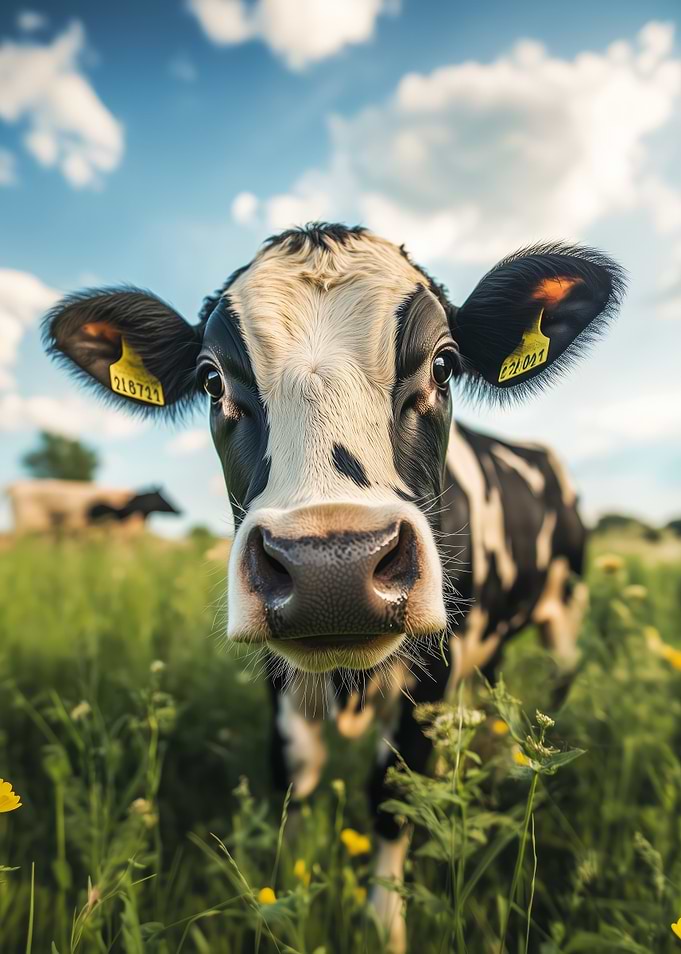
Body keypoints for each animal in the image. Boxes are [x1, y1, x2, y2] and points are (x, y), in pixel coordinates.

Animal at [43, 223, 624, 952]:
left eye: (443, 365)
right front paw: (284, 898)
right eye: (211, 381)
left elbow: (392, 795)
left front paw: (383, 927)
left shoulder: (431, 676)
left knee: (557, 680)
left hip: (564, 611)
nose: (332, 567)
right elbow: (293, 779)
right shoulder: (278, 677)